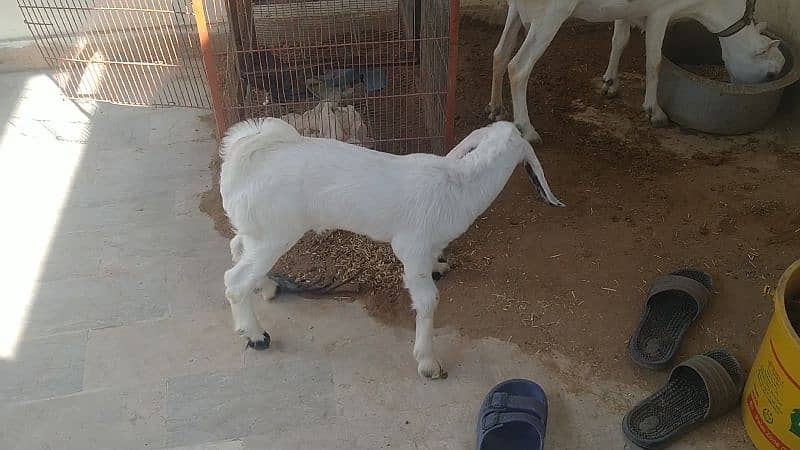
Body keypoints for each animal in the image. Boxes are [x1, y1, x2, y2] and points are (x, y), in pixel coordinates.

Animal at [220, 118, 564, 378]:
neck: (460, 187)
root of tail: (244, 159)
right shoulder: (411, 246)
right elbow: (427, 301)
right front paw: (428, 362)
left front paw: (440, 267)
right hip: (275, 233)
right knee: (234, 281)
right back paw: (256, 335)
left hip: (259, 232)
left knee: (238, 247)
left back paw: (266, 288)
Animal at [488, 0, 788, 142]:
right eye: (771, 75)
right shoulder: (660, 12)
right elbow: (654, 61)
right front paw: (654, 112)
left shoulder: (626, 9)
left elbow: (619, 39)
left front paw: (610, 83)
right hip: (550, 14)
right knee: (518, 67)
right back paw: (527, 129)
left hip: (517, 10)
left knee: (500, 53)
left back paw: (495, 108)